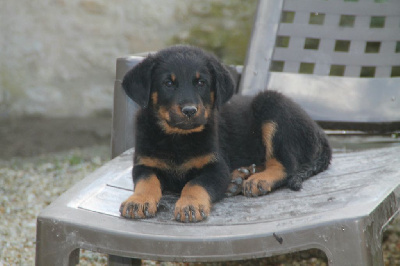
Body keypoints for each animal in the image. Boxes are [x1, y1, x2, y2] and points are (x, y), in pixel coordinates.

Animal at [119, 45, 332, 222]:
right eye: (168, 84)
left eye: (201, 83)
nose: (189, 111)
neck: (178, 138)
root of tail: (319, 132)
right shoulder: (144, 164)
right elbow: (146, 181)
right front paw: (138, 201)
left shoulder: (216, 167)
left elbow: (195, 184)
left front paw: (190, 205)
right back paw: (239, 176)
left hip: (273, 105)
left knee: (286, 164)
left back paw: (257, 179)